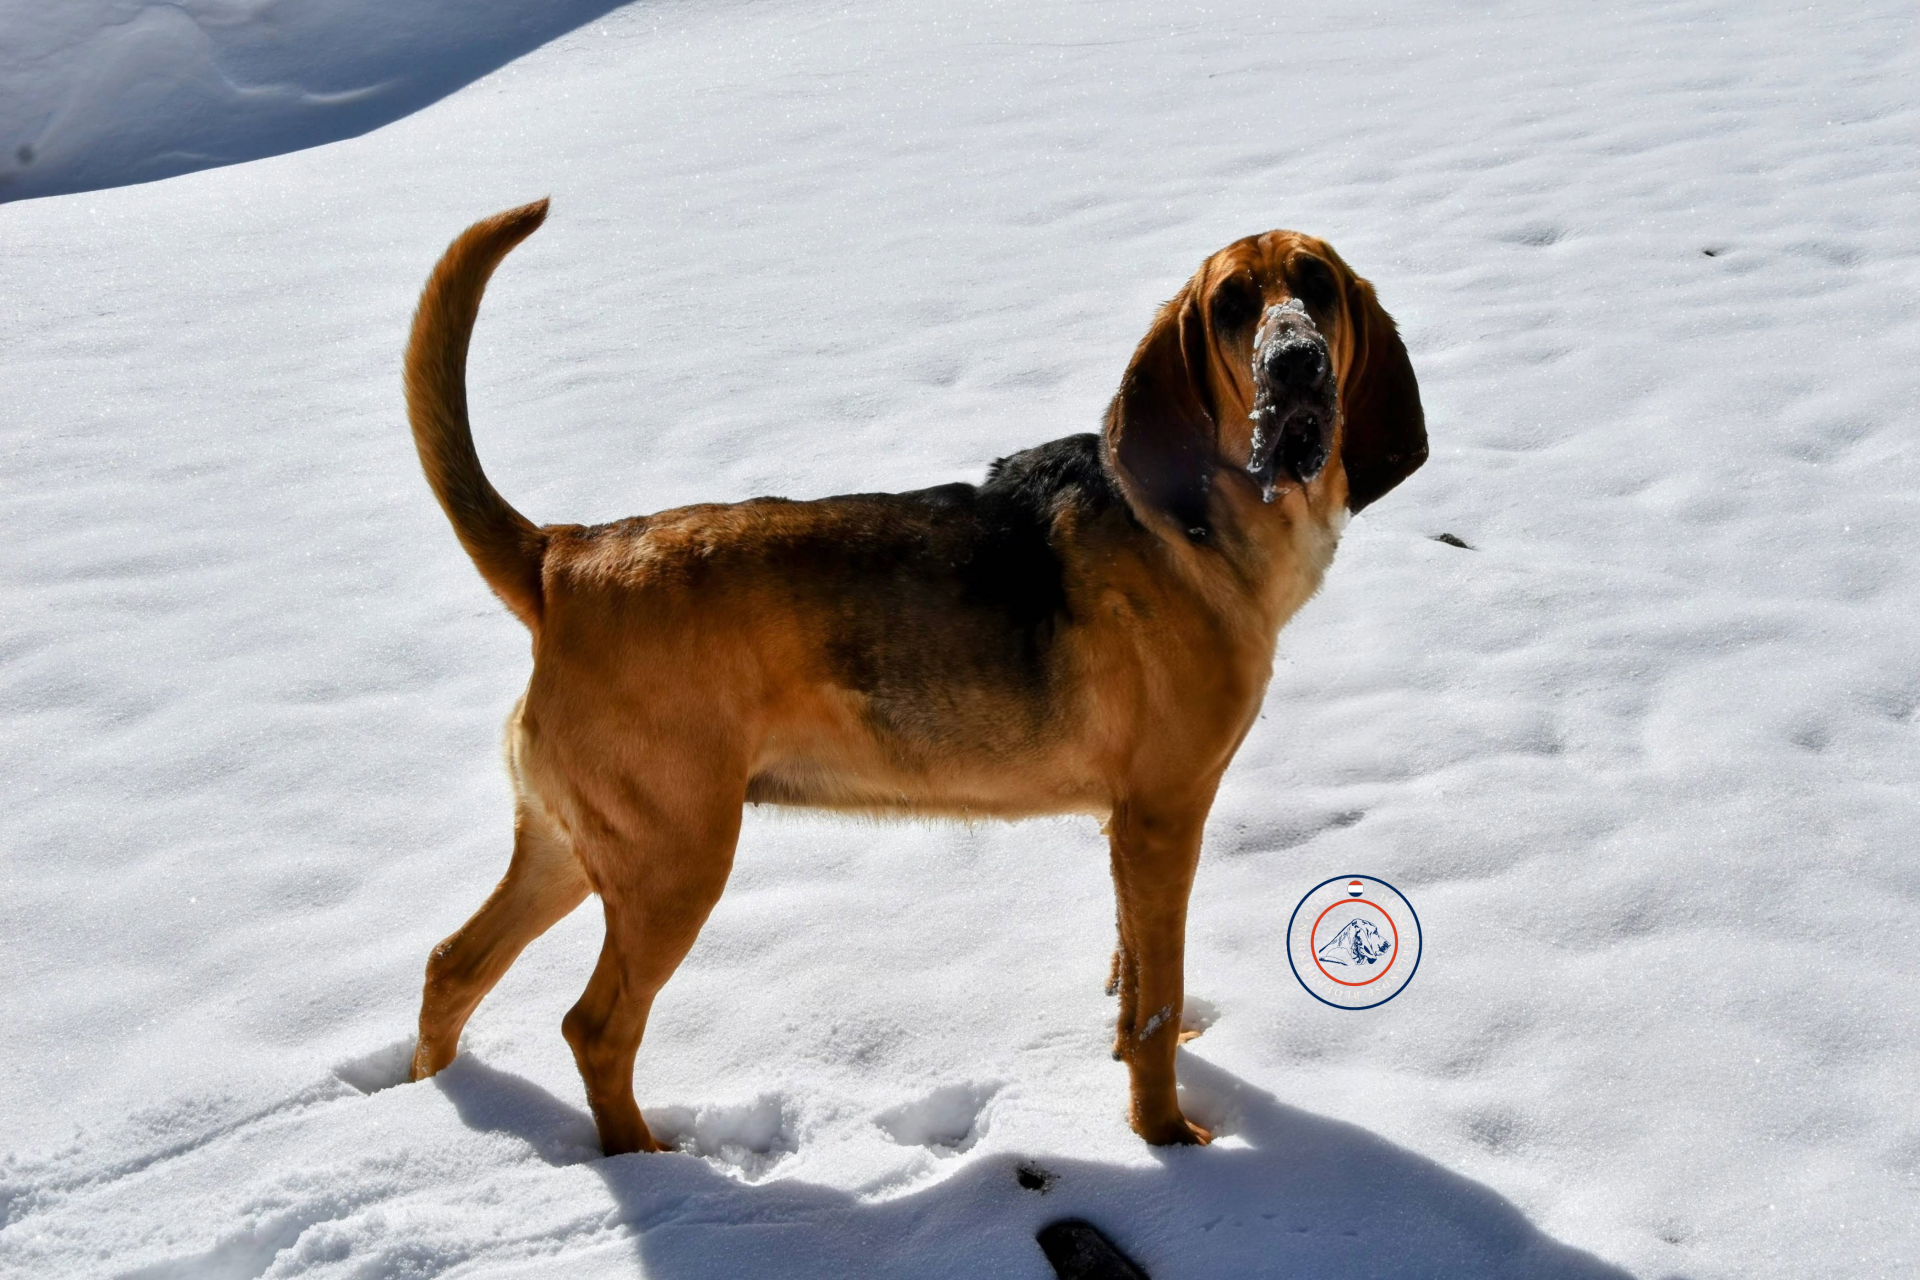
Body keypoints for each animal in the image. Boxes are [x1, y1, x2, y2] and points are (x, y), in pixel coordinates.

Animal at [402, 200, 1424, 1153]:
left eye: (1316, 285)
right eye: (1231, 305)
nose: (1295, 362)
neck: (1200, 521)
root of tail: (563, 557)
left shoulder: (1128, 830)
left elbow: (1131, 977)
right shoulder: (1164, 816)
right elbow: (1156, 1006)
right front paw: (1166, 1138)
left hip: (572, 846)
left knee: (452, 965)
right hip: (672, 865)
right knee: (595, 1029)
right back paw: (653, 1167)